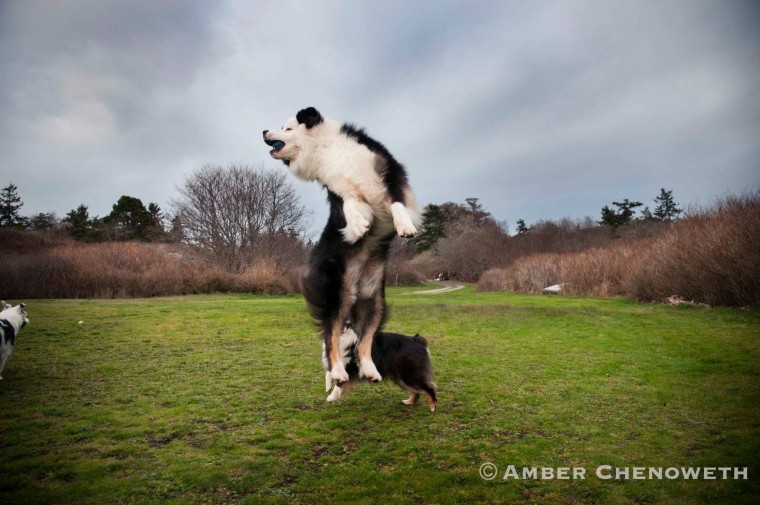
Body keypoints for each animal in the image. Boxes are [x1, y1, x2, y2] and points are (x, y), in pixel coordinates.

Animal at [262, 108, 422, 388]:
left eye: (287, 128)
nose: (263, 132)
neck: (326, 148)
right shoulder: (340, 190)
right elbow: (349, 206)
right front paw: (358, 227)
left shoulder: (387, 172)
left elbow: (396, 204)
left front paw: (404, 226)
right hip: (335, 294)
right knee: (331, 336)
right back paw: (338, 372)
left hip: (374, 301)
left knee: (363, 341)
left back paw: (370, 370)